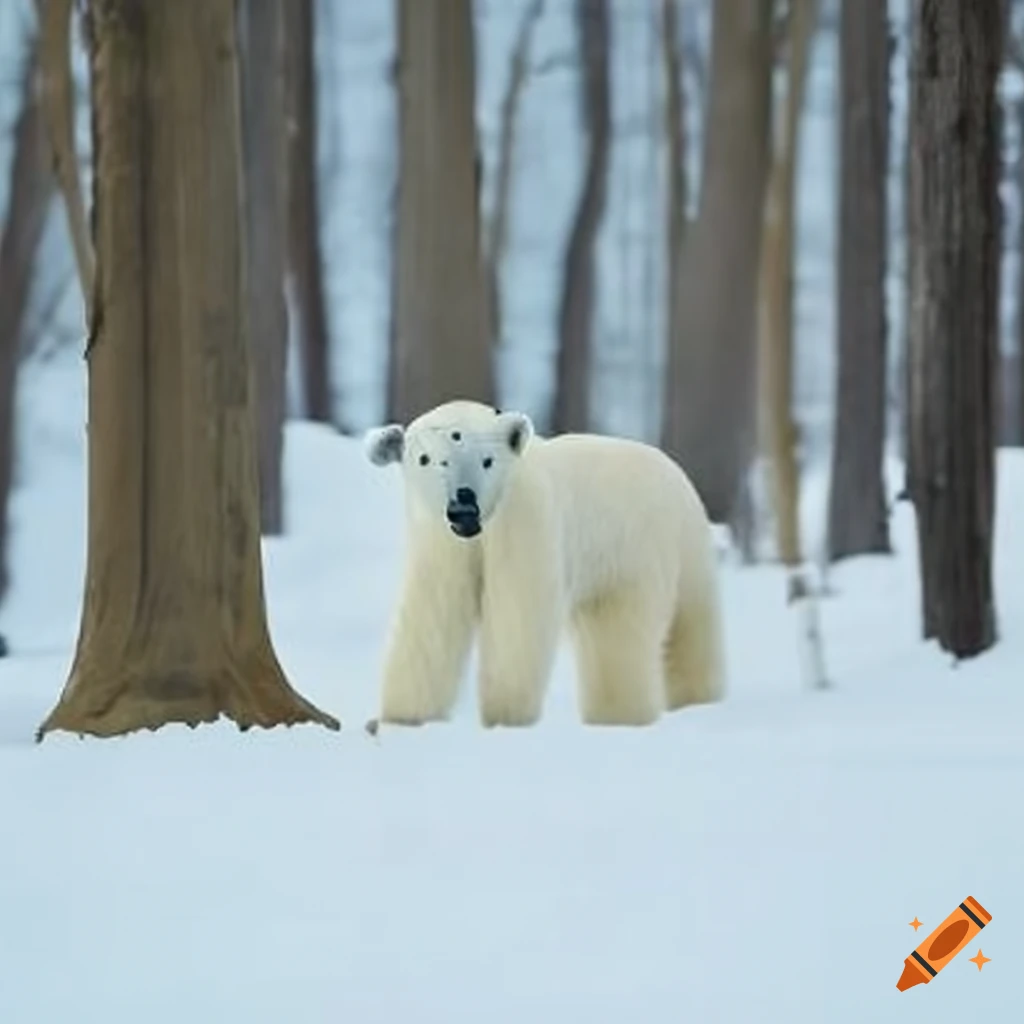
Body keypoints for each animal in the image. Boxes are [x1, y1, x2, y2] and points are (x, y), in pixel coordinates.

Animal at [364, 399, 725, 728]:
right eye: (425, 459)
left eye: (487, 461)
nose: (463, 507)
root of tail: (676, 472)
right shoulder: (441, 542)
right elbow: (434, 613)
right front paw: (404, 714)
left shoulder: (526, 520)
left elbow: (517, 613)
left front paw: (506, 713)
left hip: (643, 548)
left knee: (649, 630)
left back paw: (642, 710)